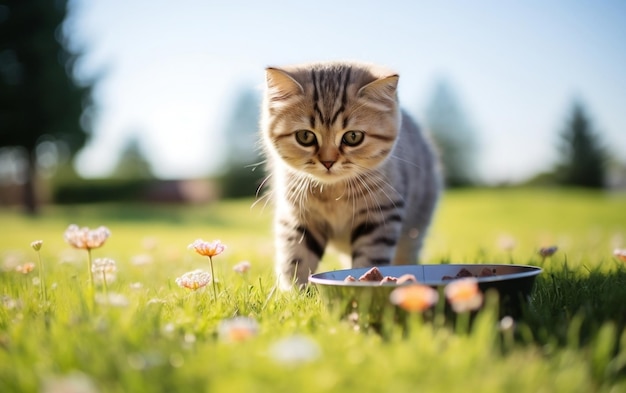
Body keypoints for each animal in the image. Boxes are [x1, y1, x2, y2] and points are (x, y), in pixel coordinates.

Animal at [258, 60, 438, 288]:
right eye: (305, 136)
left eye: (353, 137)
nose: (328, 162)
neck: (333, 192)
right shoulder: (297, 216)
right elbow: (296, 259)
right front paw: (293, 292)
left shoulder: (380, 216)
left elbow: (369, 258)